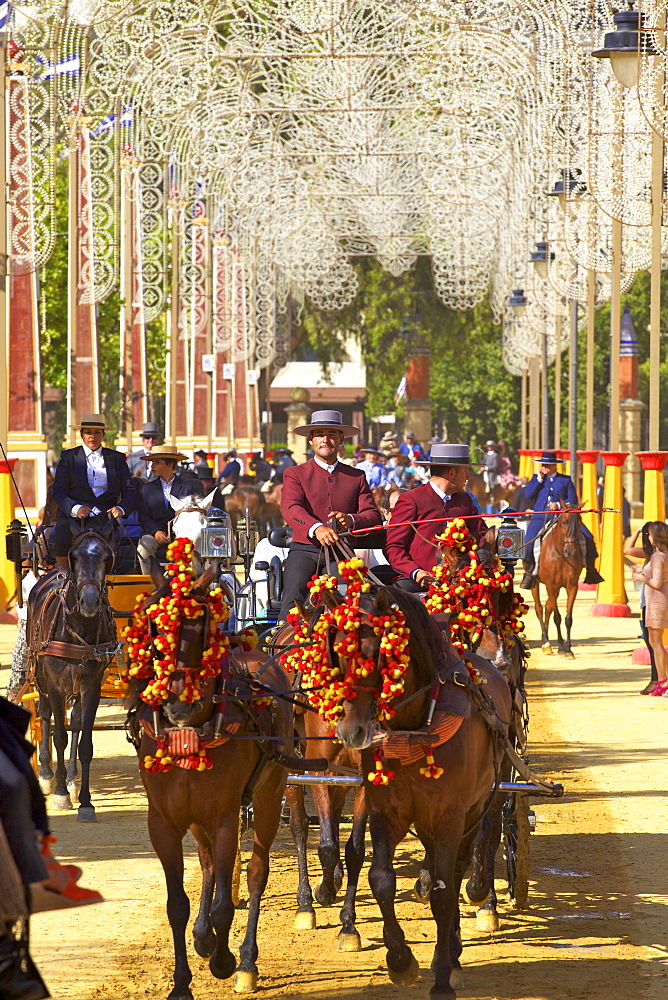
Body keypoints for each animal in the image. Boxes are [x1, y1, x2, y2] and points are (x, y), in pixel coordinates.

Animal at [26, 524, 118, 820]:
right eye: (74, 556)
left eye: (105, 558)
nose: (89, 601)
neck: (79, 628)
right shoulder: (55, 686)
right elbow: (59, 736)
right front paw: (60, 794)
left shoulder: (92, 687)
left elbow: (85, 742)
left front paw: (85, 801)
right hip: (40, 677)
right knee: (44, 717)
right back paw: (47, 774)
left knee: (75, 722)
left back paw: (71, 779)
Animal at [130, 568, 294, 996]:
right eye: (155, 626)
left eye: (202, 629)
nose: (178, 705)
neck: (191, 730)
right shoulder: (163, 822)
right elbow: (177, 905)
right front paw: (182, 982)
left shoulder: (224, 816)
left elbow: (225, 905)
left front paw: (225, 961)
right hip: (195, 816)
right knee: (206, 866)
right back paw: (203, 936)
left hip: (270, 794)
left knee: (256, 873)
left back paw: (247, 960)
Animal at [316, 584, 508, 996]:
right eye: (336, 651)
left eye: (378, 653)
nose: (350, 731)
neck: (415, 724)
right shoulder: (385, 811)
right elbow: (381, 880)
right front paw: (400, 959)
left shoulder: (451, 816)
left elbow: (443, 892)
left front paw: (443, 978)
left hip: (475, 811)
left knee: (457, 871)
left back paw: (451, 952)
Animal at [528, 508, 580, 656]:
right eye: (564, 522)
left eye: (579, 522)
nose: (570, 551)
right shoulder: (551, 586)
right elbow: (557, 617)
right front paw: (561, 646)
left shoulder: (572, 586)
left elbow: (568, 618)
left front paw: (568, 648)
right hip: (536, 584)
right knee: (539, 608)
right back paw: (546, 642)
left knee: (547, 606)